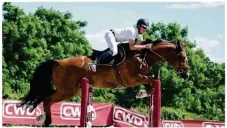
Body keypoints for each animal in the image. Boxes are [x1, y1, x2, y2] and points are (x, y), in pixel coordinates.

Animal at [17, 38, 190, 126]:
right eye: (182, 57)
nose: (187, 74)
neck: (143, 55)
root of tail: (58, 62)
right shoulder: (131, 79)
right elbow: (152, 78)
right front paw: (142, 93)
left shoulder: (139, 77)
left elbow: (151, 80)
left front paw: (143, 93)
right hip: (68, 90)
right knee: (47, 99)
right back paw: (47, 120)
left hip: (67, 89)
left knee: (44, 97)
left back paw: (42, 118)